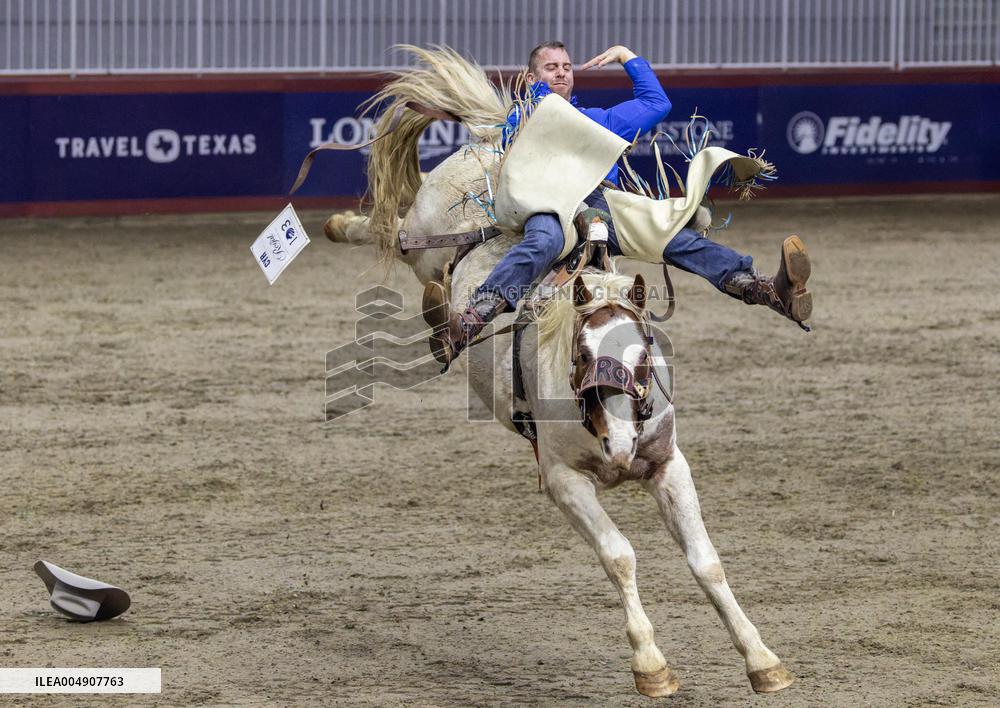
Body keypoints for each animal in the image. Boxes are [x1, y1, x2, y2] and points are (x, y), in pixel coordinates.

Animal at [324, 45, 795, 697]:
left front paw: (761, 659)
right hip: (423, 238)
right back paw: (366, 248)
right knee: (391, 230)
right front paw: (651, 666)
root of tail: (492, 144)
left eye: (645, 354)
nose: (620, 447)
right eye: (580, 355)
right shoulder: (562, 480)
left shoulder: (670, 464)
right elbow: (620, 554)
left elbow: (707, 562)